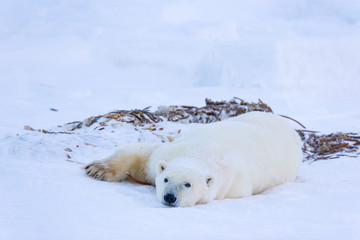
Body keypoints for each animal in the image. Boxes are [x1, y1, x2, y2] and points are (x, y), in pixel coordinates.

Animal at [83, 111, 300, 207]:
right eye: (166, 179)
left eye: (187, 184)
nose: (170, 197)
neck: (199, 154)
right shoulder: (166, 153)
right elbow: (142, 153)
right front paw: (98, 169)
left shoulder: (234, 185)